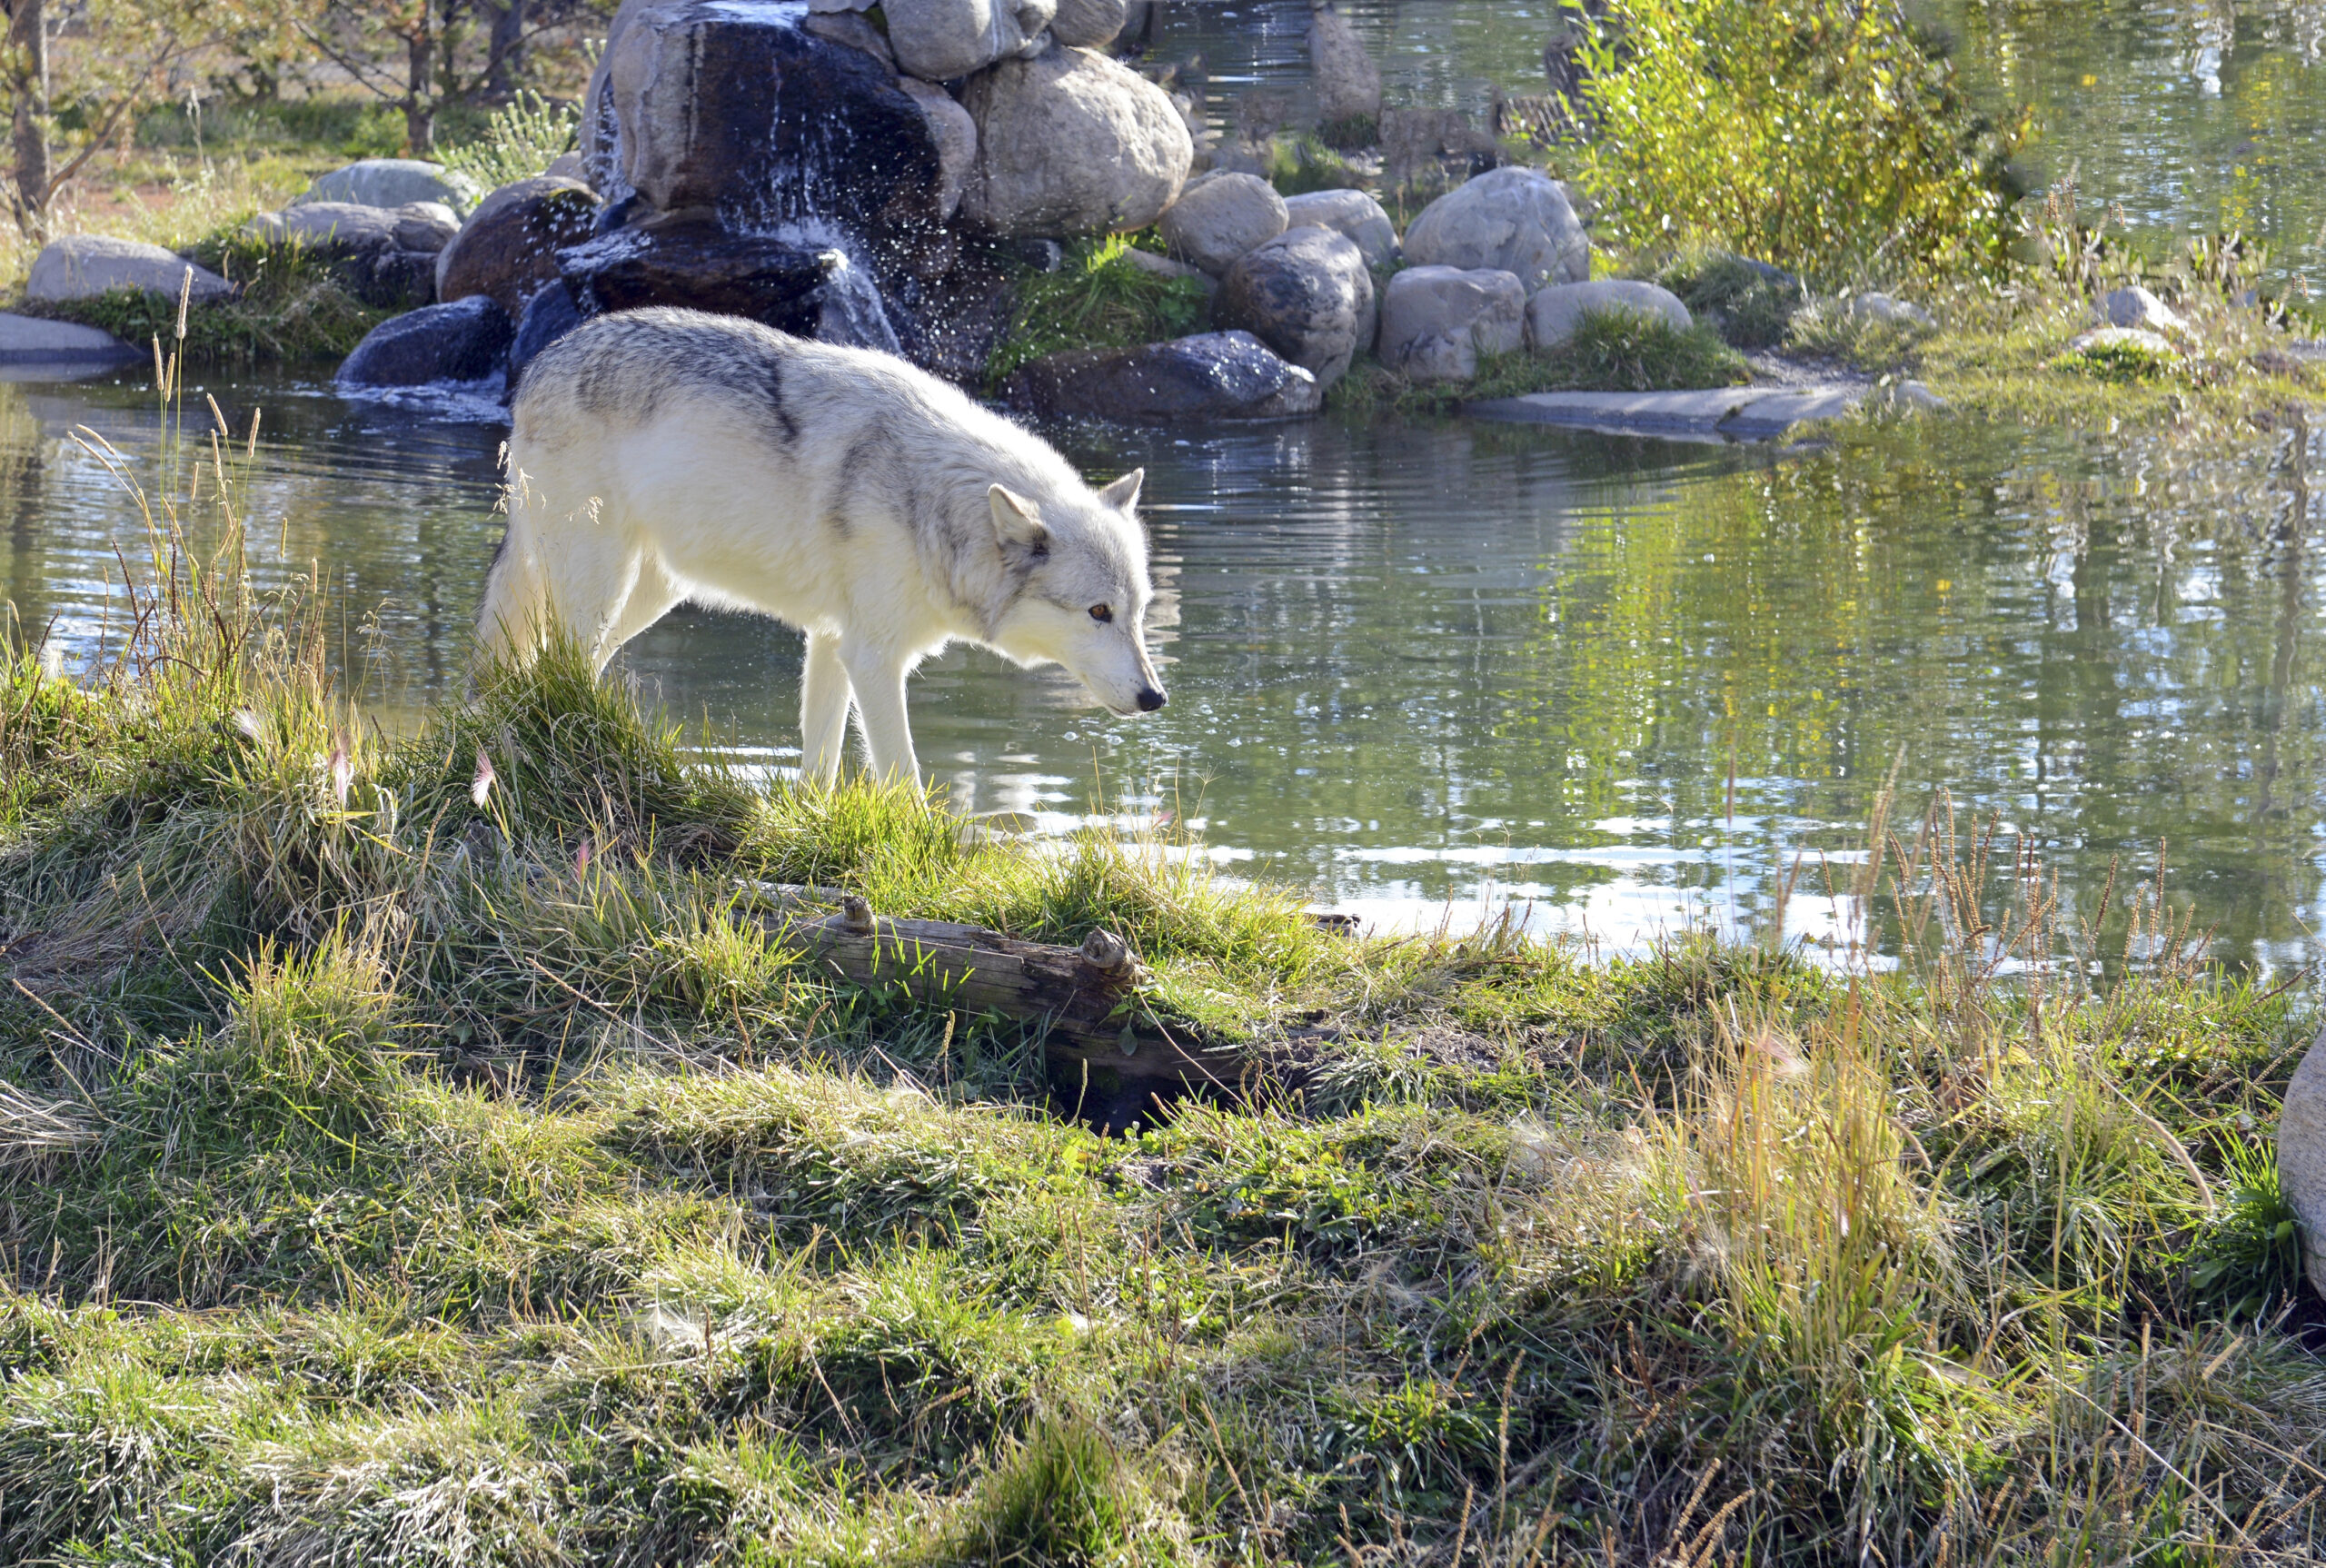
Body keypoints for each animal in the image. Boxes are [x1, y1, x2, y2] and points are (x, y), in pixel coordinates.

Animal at [477, 307, 1167, 787]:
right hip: (602, 583)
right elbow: (903, 776)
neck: (932, 499)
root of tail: (539, 365)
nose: (1156, 698)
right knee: (556, 667)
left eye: (1136, 615)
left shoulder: (833, 642)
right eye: (1097, 612)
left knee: (564, 667)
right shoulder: (874, 658)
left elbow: (821, 770)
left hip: (648, 596)